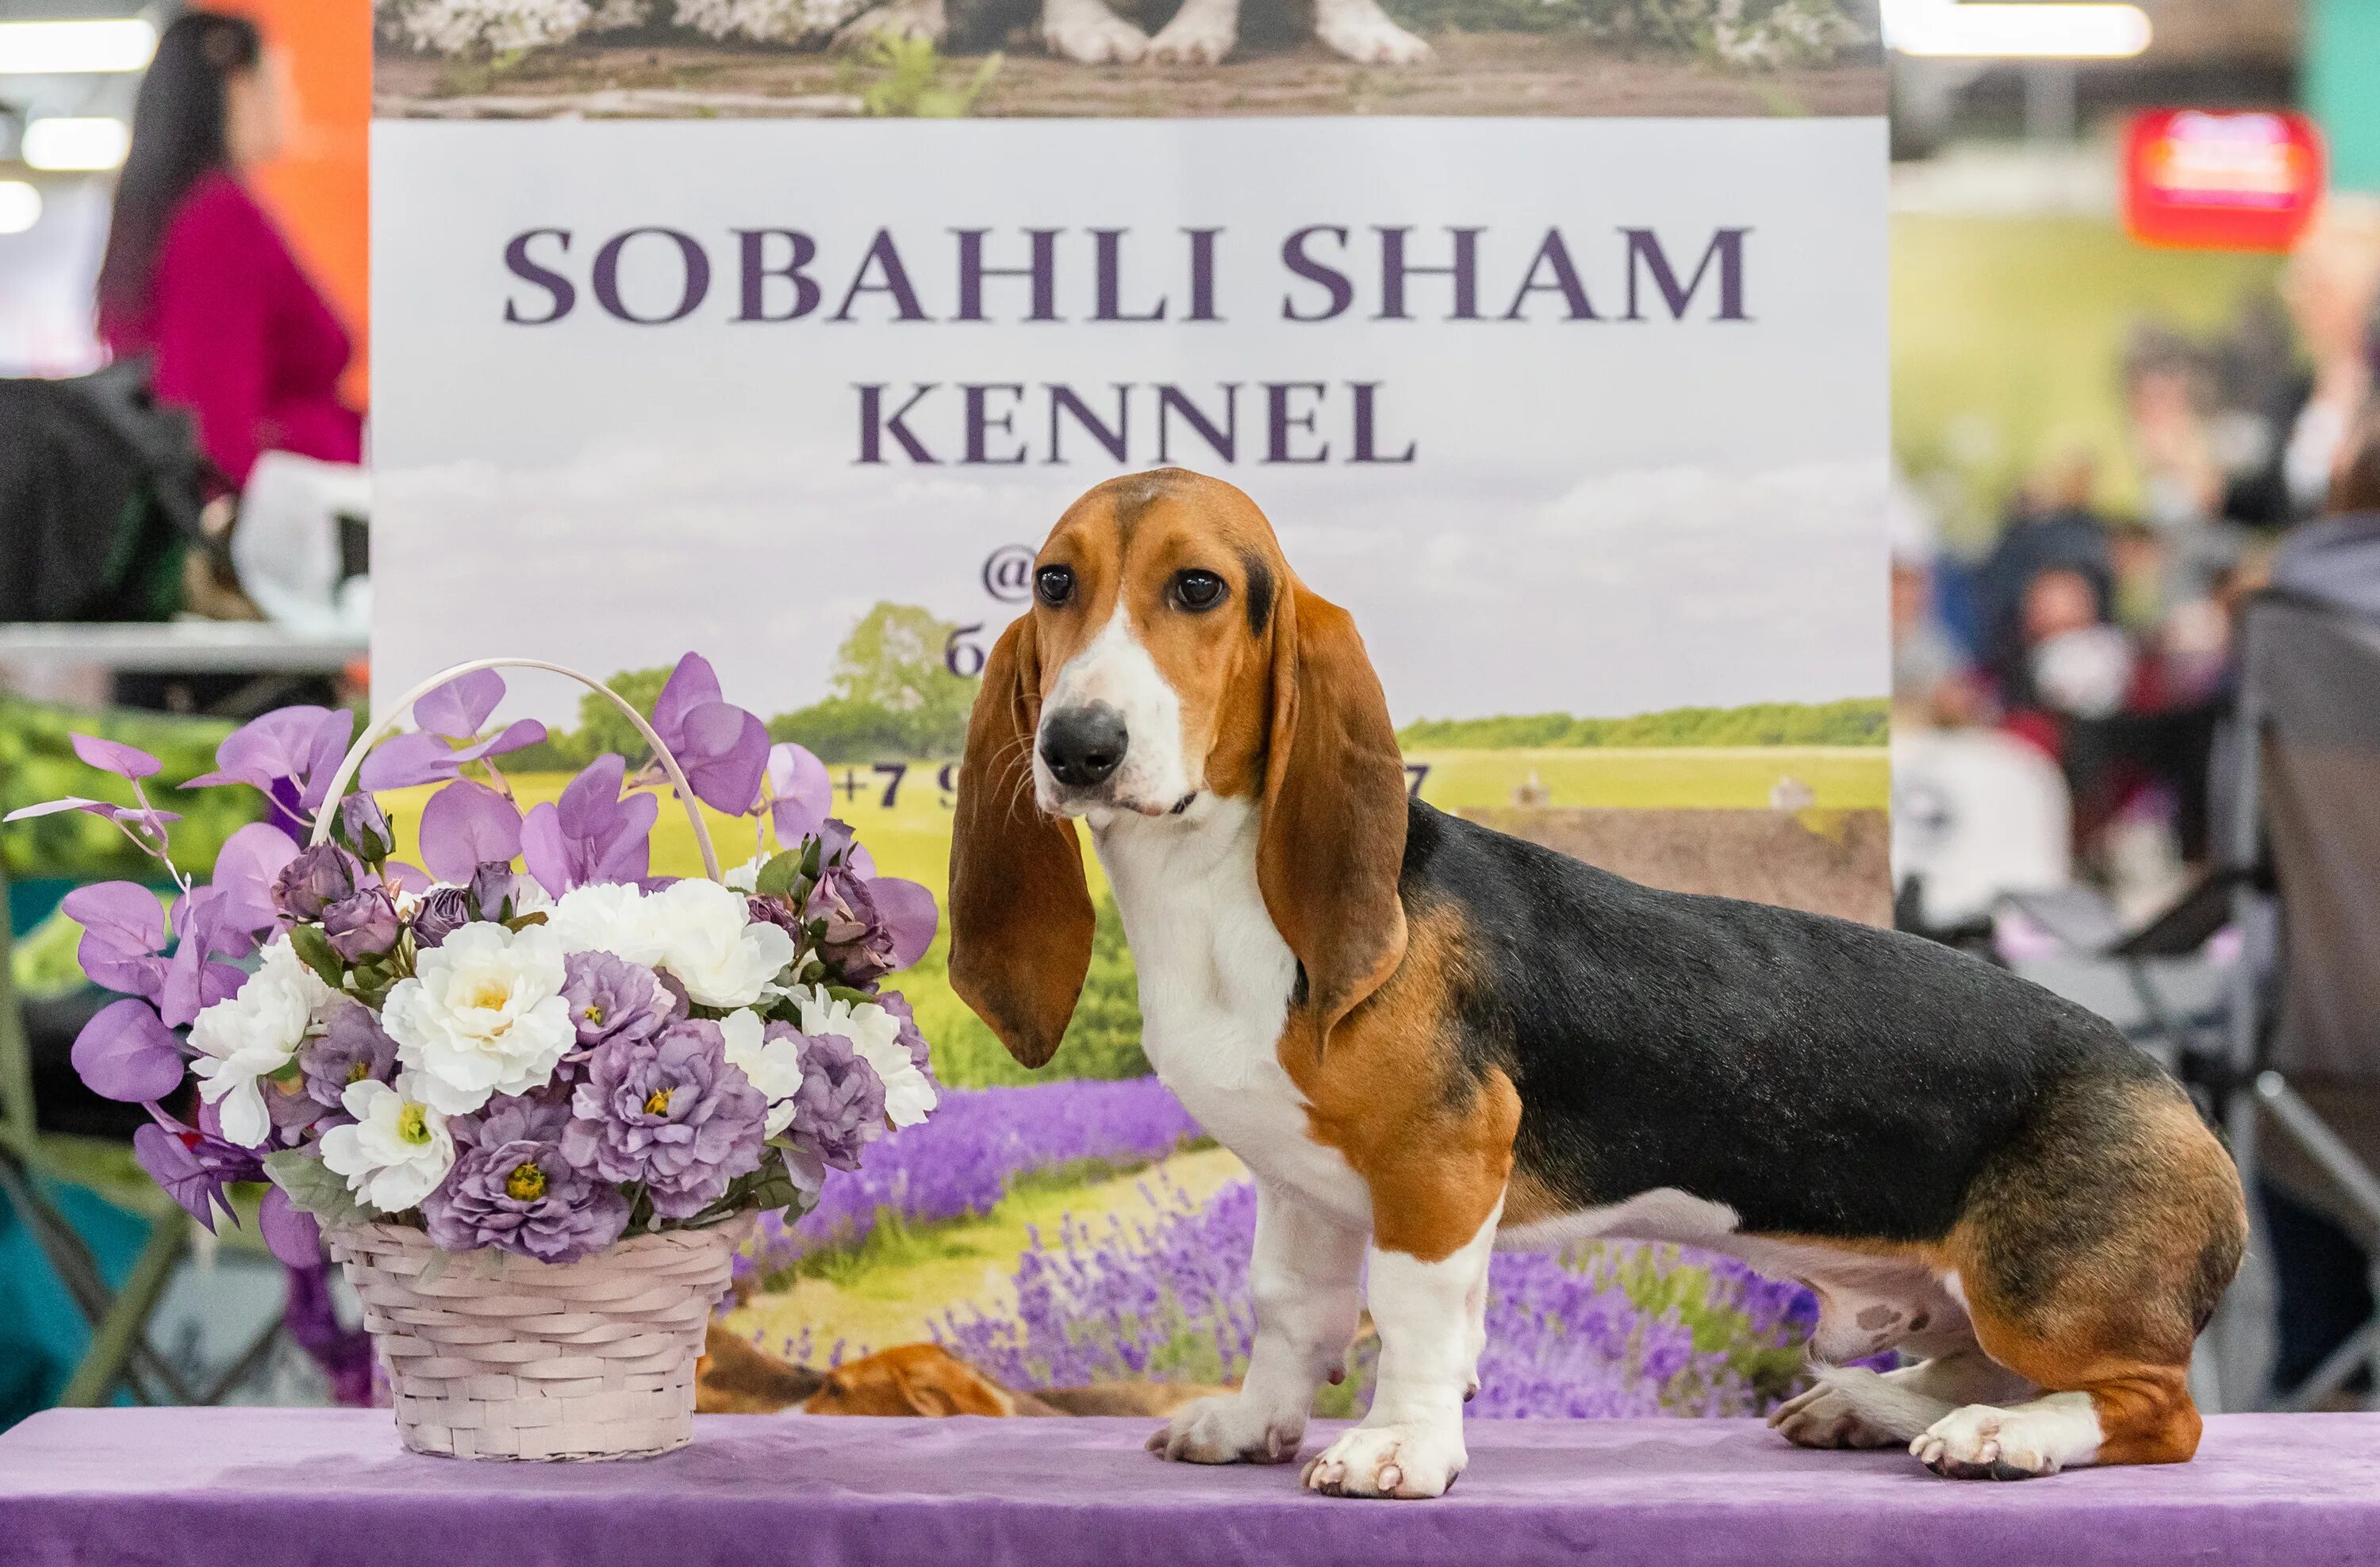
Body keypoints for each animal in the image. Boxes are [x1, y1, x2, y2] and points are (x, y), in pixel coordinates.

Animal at [938, 469, 2237, 1495]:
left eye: (1200, 589)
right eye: (1054, 582)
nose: (1077, 747)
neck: (1214, 890)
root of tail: (2180, 1098)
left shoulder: (1436, 1162)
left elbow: (1411, 1318)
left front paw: (1398, 1446)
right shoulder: (1299, 1181)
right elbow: (1288, 1307)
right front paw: (1254, 1423)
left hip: (2038, 1292)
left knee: (2152, 1408)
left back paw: (2003, 1438)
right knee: (1983, 1364)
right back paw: (1874, 1403)